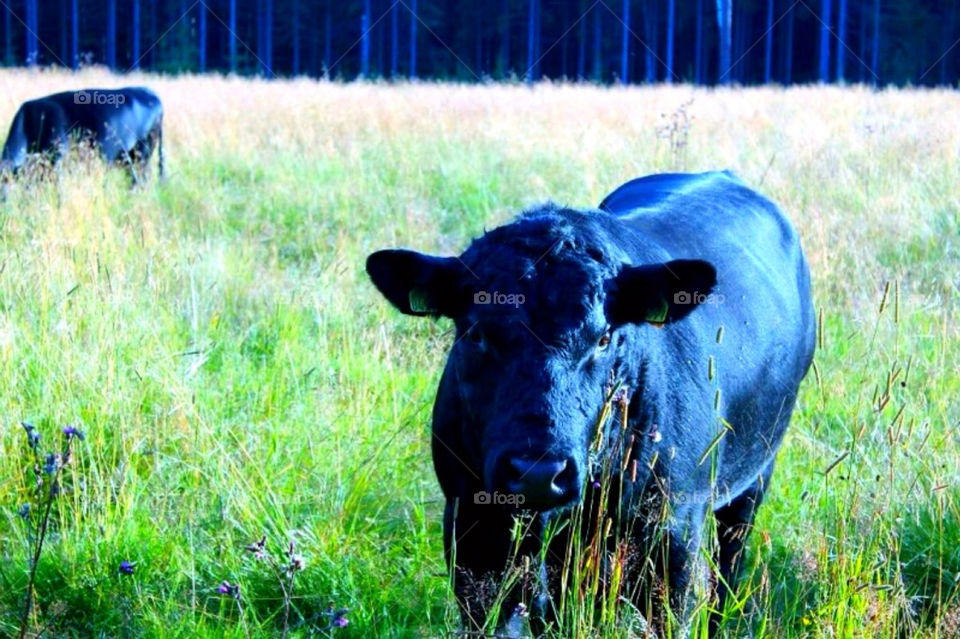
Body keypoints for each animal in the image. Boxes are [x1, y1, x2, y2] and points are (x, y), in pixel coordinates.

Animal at [364, 170, 812, 636]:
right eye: (475, 333)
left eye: (603, 338)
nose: (538, 473)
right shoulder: (472, 526)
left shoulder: (674, 536)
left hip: (754, 479)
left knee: (729, 563)